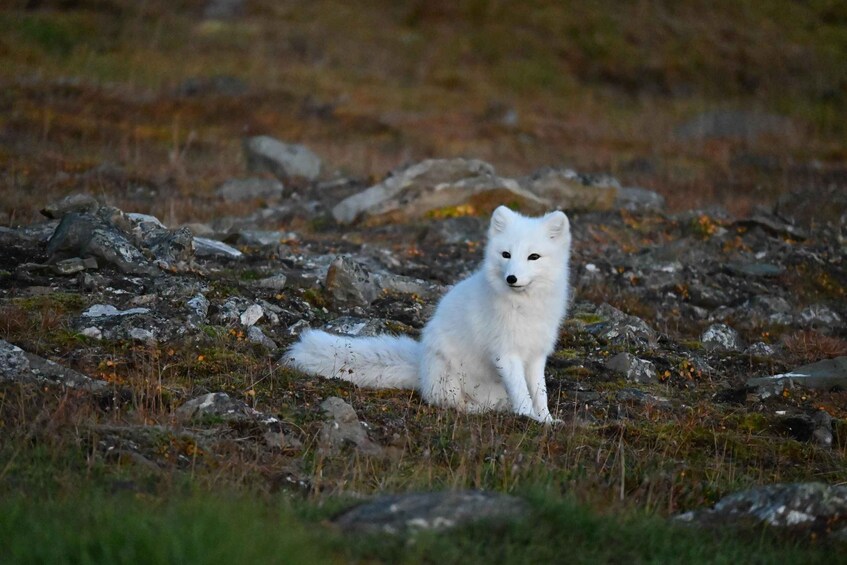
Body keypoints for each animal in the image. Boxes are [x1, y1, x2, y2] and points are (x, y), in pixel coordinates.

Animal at [285, 205, 572, 423]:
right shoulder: (506, 354)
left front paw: (546, 419)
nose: (511, 278)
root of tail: (420, 365)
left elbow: (540, 392)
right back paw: (478, 409)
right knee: (449, 402)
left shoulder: (536, 355)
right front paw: (528, 418)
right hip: (449, 375)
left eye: (533, 256)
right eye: (506, 254)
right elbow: (521, 391)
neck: (525, 308)